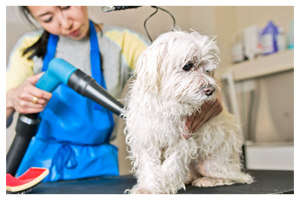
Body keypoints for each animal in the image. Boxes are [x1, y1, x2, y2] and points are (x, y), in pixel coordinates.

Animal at [122, 29, 253, 195]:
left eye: (208, 70)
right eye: (188, 66)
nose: (211, 89)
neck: (169, 104)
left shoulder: (183, 142)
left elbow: (169, 167)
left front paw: (163, 185)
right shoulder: (146, 139)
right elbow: (149, 168)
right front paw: (148, 188)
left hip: (211, 165)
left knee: (234, 178)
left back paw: (207, 180)